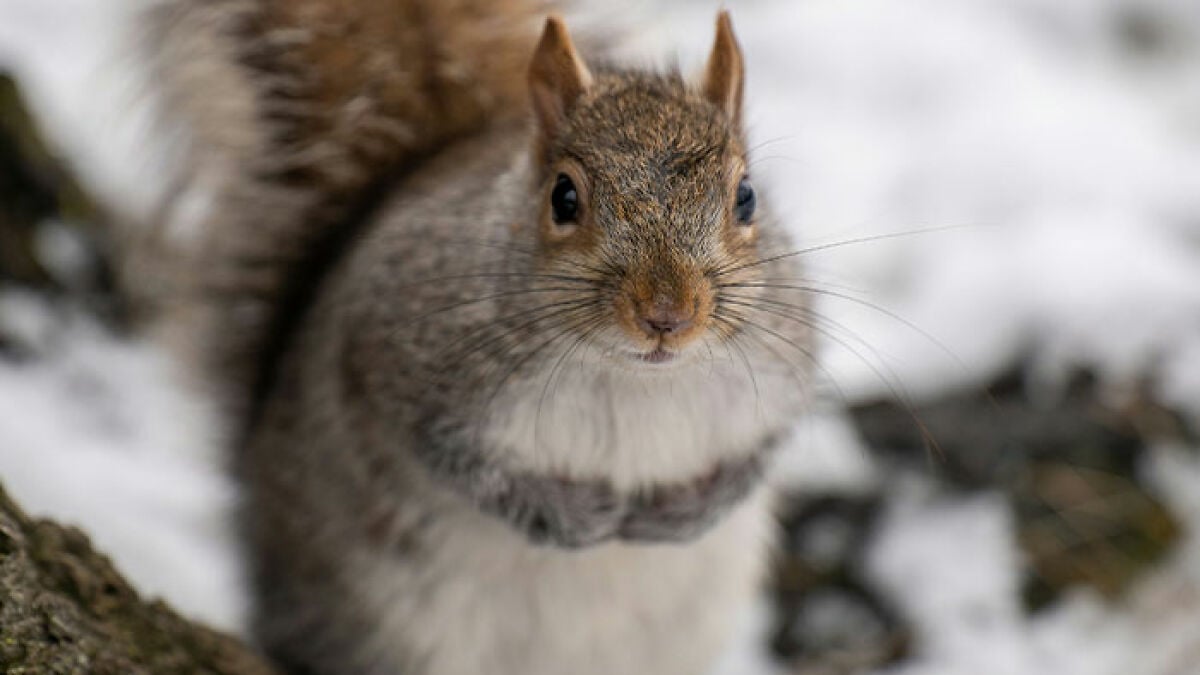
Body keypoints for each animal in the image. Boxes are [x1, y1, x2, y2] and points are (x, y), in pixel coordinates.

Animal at [129, 1, 812, 673]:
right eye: (564, 197)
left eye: (746, 197)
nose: (667, 315)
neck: (635, 377)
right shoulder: (401, 353)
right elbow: (463, 465)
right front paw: (577, 518)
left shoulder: (786, 364)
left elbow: (764, 450)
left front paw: (686, 513)